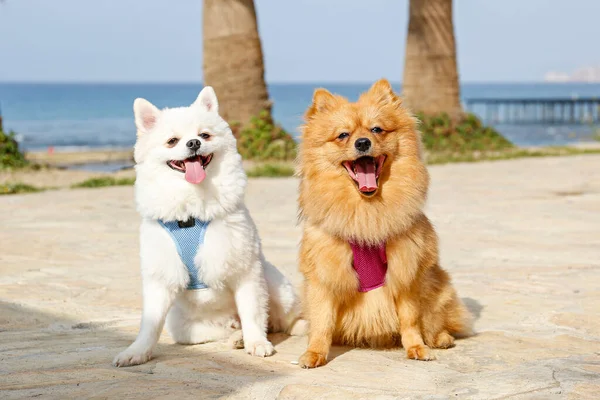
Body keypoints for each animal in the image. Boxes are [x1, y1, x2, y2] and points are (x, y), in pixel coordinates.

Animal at [112, 86, 302, 368]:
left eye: (204, 135)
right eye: (172, 141)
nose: (193, 143)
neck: (191, 208)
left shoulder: (245, 269)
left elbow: (253, 313)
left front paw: (257, 343)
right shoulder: (161, 277)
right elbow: (150, 324)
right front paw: (137, 351)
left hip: (277, 287)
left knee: (282, 321)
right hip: (184, 327)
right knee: (227, 329)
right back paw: (237, 337)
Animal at [298, 79, 472, 368]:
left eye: (376, 129)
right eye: (343, 135)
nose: (362, 142)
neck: (368, 212)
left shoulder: (406, 270)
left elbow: (410, 319)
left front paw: (416, 347)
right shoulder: (325, 274)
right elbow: (322, 321)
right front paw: (315, 353)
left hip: (439, 288)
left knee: (436, 320)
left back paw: (440, 338)